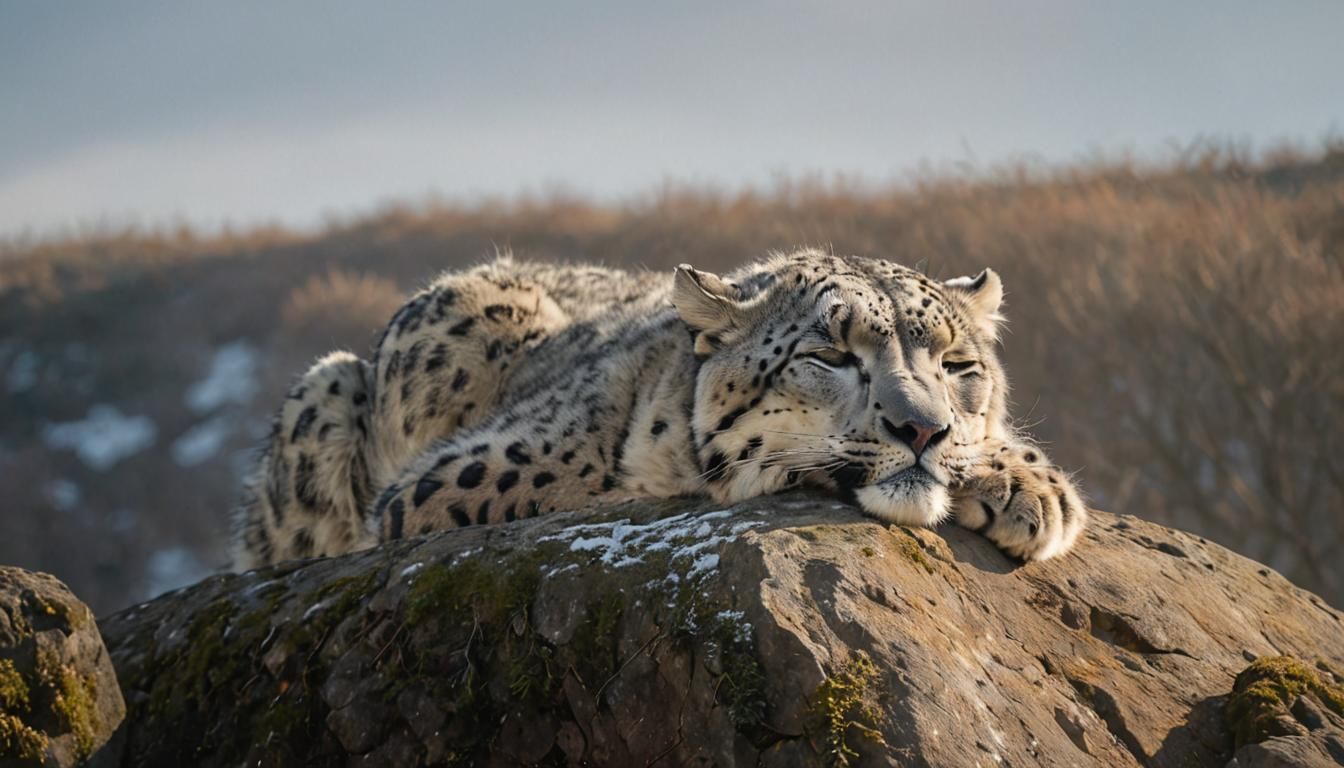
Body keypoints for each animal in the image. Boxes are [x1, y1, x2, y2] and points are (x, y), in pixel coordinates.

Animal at [231, 249, 1087, 570]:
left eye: (958, 366)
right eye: (828, 357)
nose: (920, 428)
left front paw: (1032, 487)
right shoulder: (453, 480)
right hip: (330, 397)